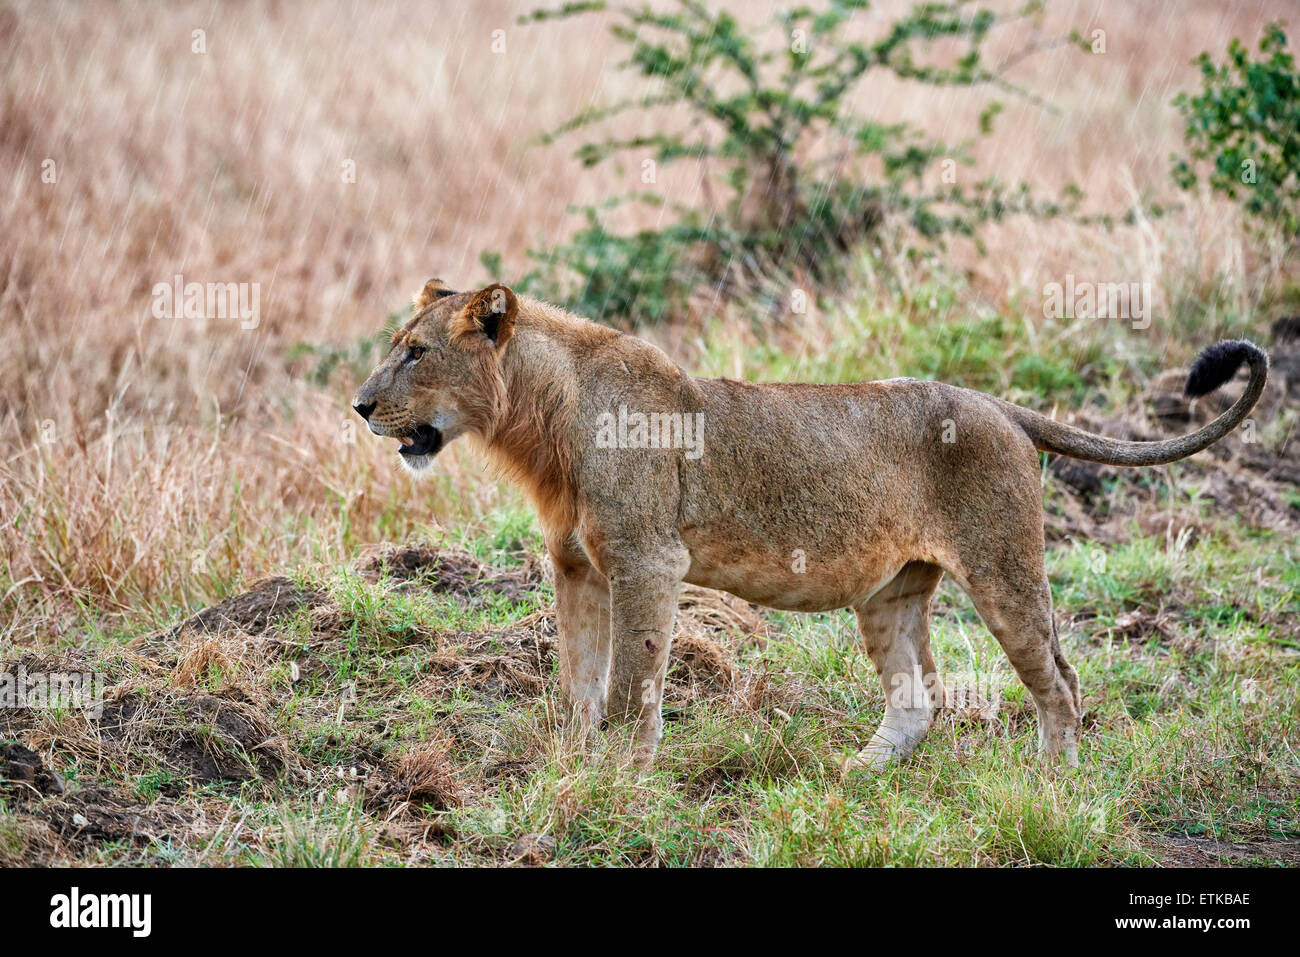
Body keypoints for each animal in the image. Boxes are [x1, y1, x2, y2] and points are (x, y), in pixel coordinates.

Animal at [353, 278, 1268, 769]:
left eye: (416, 352)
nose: (359, 406)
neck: (540, 424)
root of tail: (999, 405)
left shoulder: (649, 561)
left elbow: (629, 685)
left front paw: (621, 779)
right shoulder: (577, 565)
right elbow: (576, 683)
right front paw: (573, 768)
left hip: (1004, 568)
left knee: (1063, 682)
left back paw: (1055, 782)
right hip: (890, 593)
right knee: (917, 699)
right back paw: (854, 775)